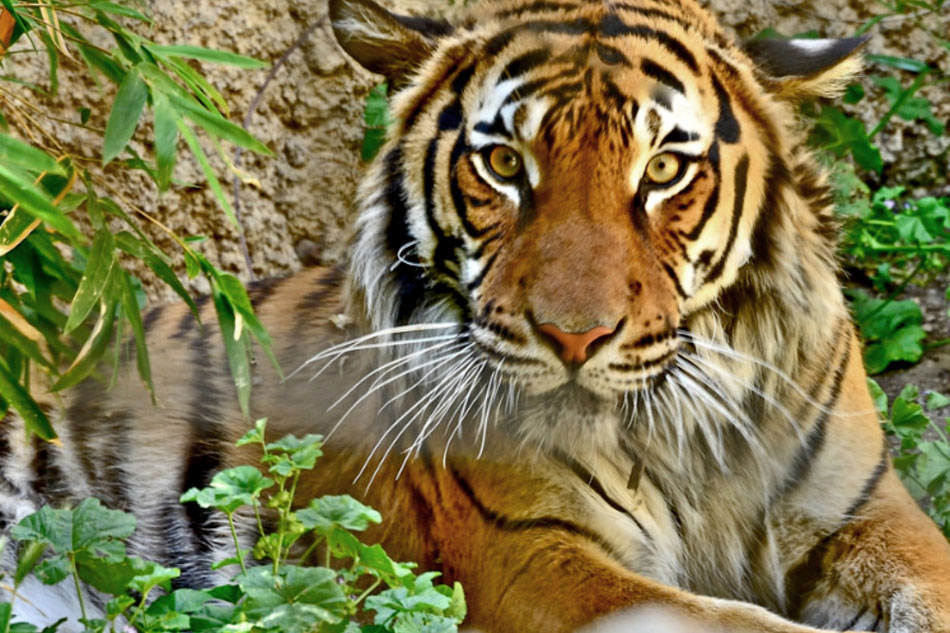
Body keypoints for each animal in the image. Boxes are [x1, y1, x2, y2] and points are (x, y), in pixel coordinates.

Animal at [3, 0, 950, 630]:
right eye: (502, 164)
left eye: (663, 171)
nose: (574, 336)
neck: (682, 428)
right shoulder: (523, 554)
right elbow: (729, 620)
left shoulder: (870, 513)